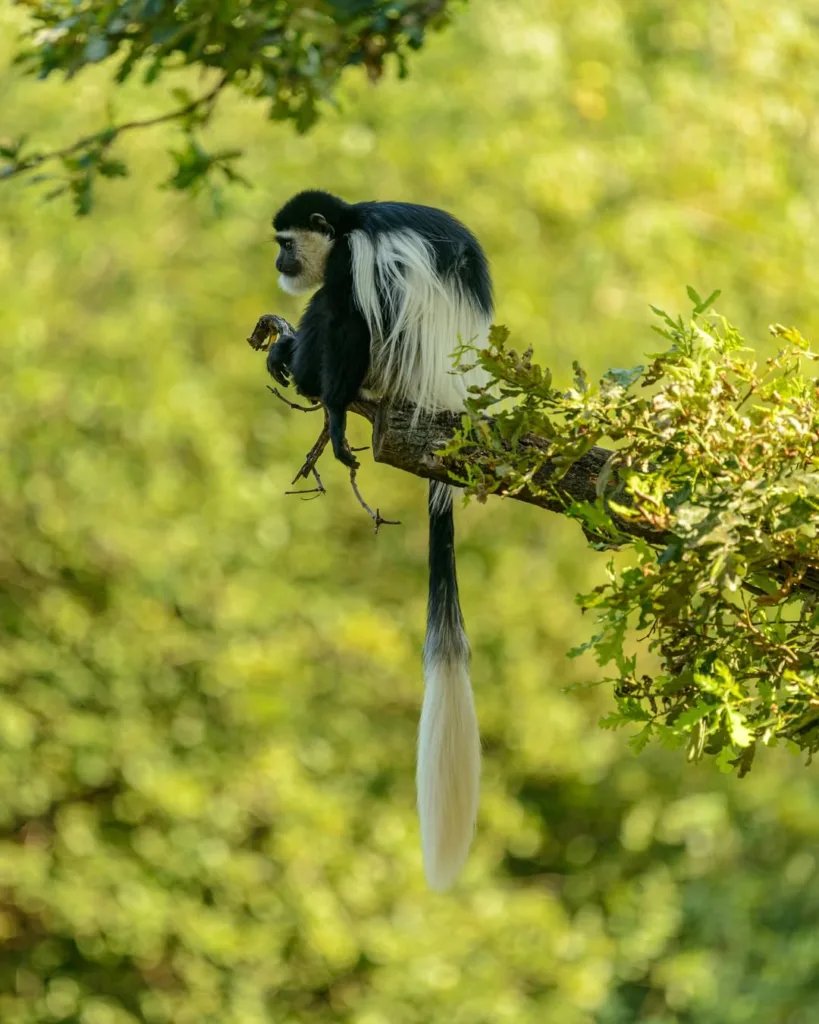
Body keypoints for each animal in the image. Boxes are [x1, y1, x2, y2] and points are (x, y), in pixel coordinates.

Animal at [260, 190, 493, 890]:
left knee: (348, 313)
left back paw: (310, 375)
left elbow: (350, 314)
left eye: (286, 243)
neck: (348, 225)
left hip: (396, 359)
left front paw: (332, 410)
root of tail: (447, 397)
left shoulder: (359, 259)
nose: (279, 264)